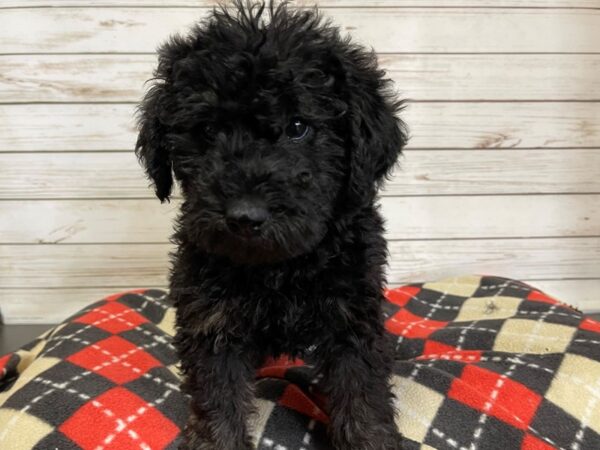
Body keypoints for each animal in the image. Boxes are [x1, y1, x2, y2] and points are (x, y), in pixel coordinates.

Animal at [136, 2, 408, 446]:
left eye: (298, 127)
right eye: (207, 130)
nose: (245, 217)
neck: (278, 268)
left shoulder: (352, 317)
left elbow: (362, 396)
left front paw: (371, 439)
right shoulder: (211, 321)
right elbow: (217, 401)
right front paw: (216, 441)